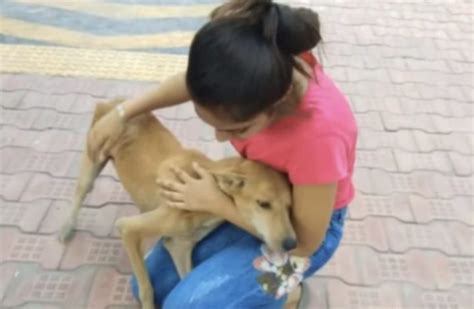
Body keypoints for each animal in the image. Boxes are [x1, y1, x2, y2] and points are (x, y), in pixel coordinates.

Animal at [59, 99, 296, 308]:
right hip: (93, 158)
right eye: (263, 204)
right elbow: (146, 288)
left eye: (289, 206)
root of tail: (116, 102)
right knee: (80, 192)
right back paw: (66, 226)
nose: (292, 243)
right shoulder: (128, 228)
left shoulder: (179, 246)